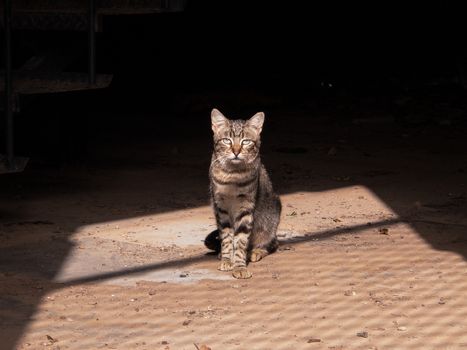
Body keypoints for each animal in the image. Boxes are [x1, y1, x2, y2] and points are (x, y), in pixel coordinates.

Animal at [208, 108, 282, 278]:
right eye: (227, 140)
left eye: (246, 141)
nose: (236, 151)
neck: (232, 176)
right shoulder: (221, 207)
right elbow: (227, 237)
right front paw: (227, 260)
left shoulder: (246, 208)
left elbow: (241, 240)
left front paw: (240, 266)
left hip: (271, 216)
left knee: (272, 242)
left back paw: (256, 251)